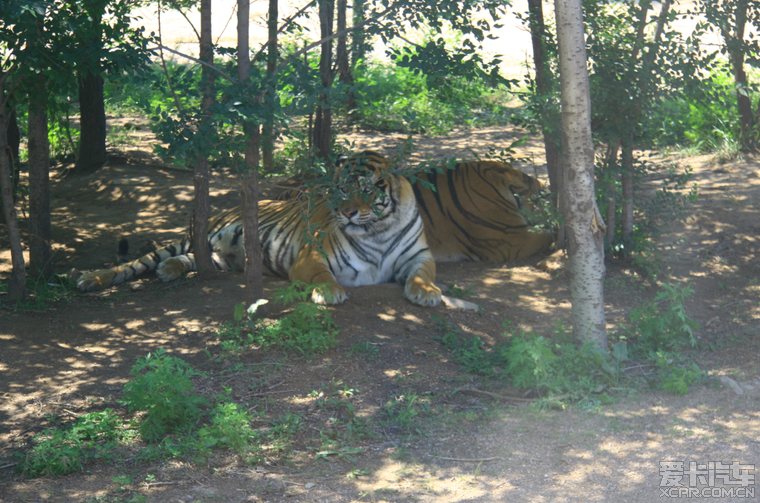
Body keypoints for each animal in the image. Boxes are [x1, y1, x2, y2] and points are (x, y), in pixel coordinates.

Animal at [74, 152, 442, 306]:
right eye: (340, 189)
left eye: (367, 189)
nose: (347, 212)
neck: (378, 230)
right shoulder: (311, 257)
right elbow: (323, 276)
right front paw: (329, 292)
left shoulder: (419, 256)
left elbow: (425, 274)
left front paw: (427, 294)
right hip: (202, 237)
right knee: (135, 263)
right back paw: (91, 279)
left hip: (223, 258)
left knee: (194, 259)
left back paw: (170, 269)